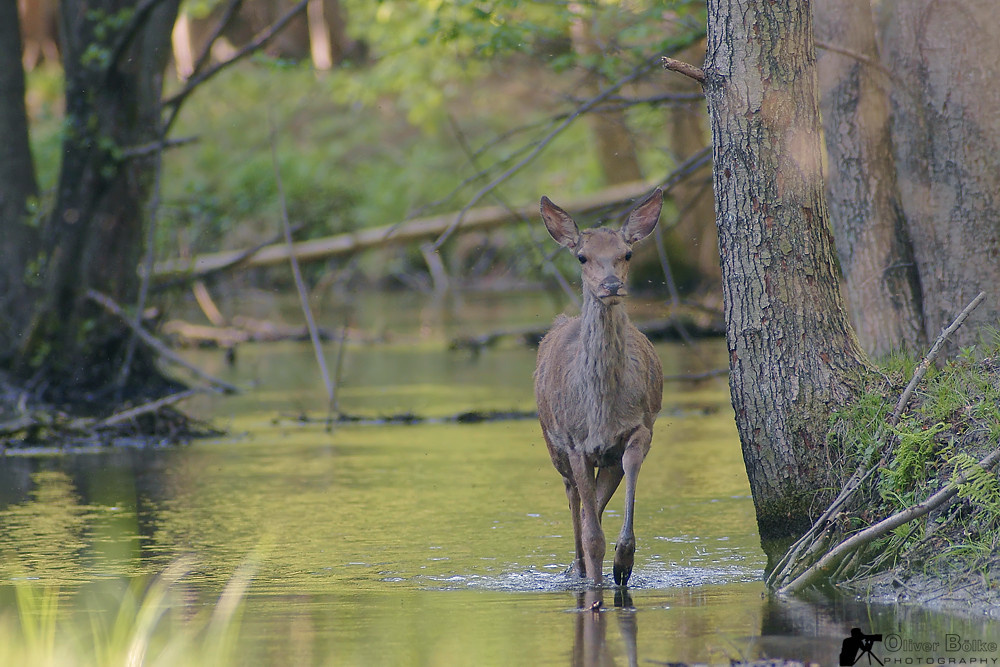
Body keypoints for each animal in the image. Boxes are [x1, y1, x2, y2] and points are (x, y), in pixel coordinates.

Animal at [532, 189, 664, 588]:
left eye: (627, 253)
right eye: (582, 256)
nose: (611, 285)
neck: (602, 411)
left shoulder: (641, 425)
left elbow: (631, 466)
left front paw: (623, 562)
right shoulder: (575, 441)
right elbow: (591, 533)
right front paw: (593, 579)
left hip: (603, 460)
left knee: (595, 500)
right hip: (553, 443)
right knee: (573, 496)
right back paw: (575, 567)